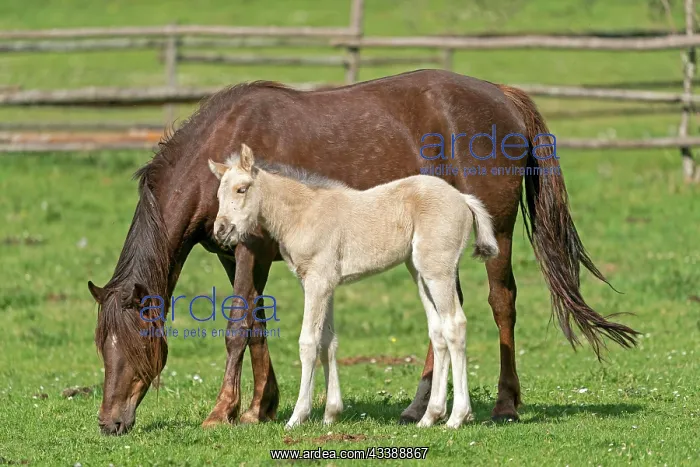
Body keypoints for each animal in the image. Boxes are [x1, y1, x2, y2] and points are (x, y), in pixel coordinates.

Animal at [209, 144, 500, 428]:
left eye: (242, 189)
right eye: (218, 195)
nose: (221, 231)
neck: (303, 214)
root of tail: (463, 198)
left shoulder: (317, 282)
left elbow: (308, 342)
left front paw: (297, 417)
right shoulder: (324, 285)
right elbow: (328, 340)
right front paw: (330, 414)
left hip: (438, 271)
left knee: (454, 325)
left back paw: (457, 417)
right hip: (419, 273)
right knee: (438, 332)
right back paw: (429, 417)